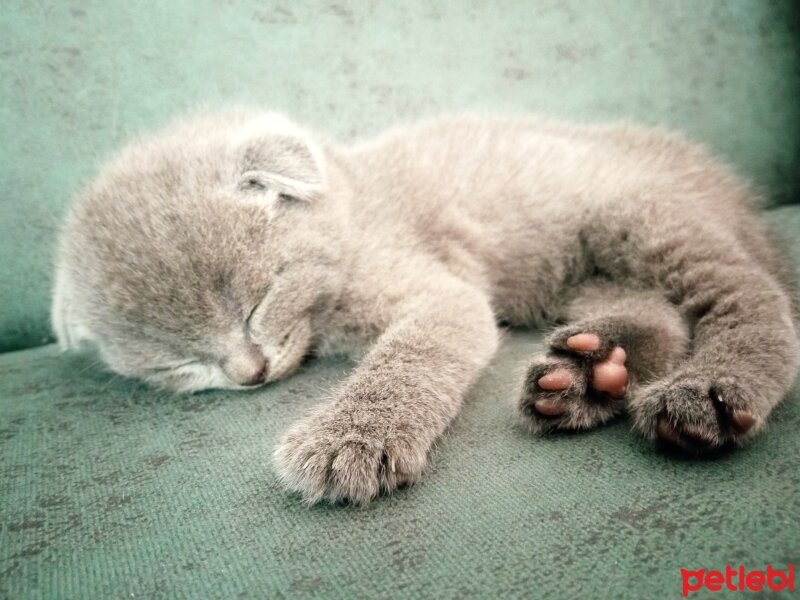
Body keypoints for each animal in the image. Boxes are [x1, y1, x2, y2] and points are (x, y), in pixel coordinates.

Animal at [53, 110, 796, 504]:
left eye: (257, 303)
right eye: (178, 366)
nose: (249, 373)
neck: (353, 204)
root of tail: (726, 184)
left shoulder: (441, 291)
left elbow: (412, 353)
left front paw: (349, 441)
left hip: (638, 215)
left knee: (752, 295)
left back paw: (709, 388)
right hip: (584, 274)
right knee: (662, 316)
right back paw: (591, 372)